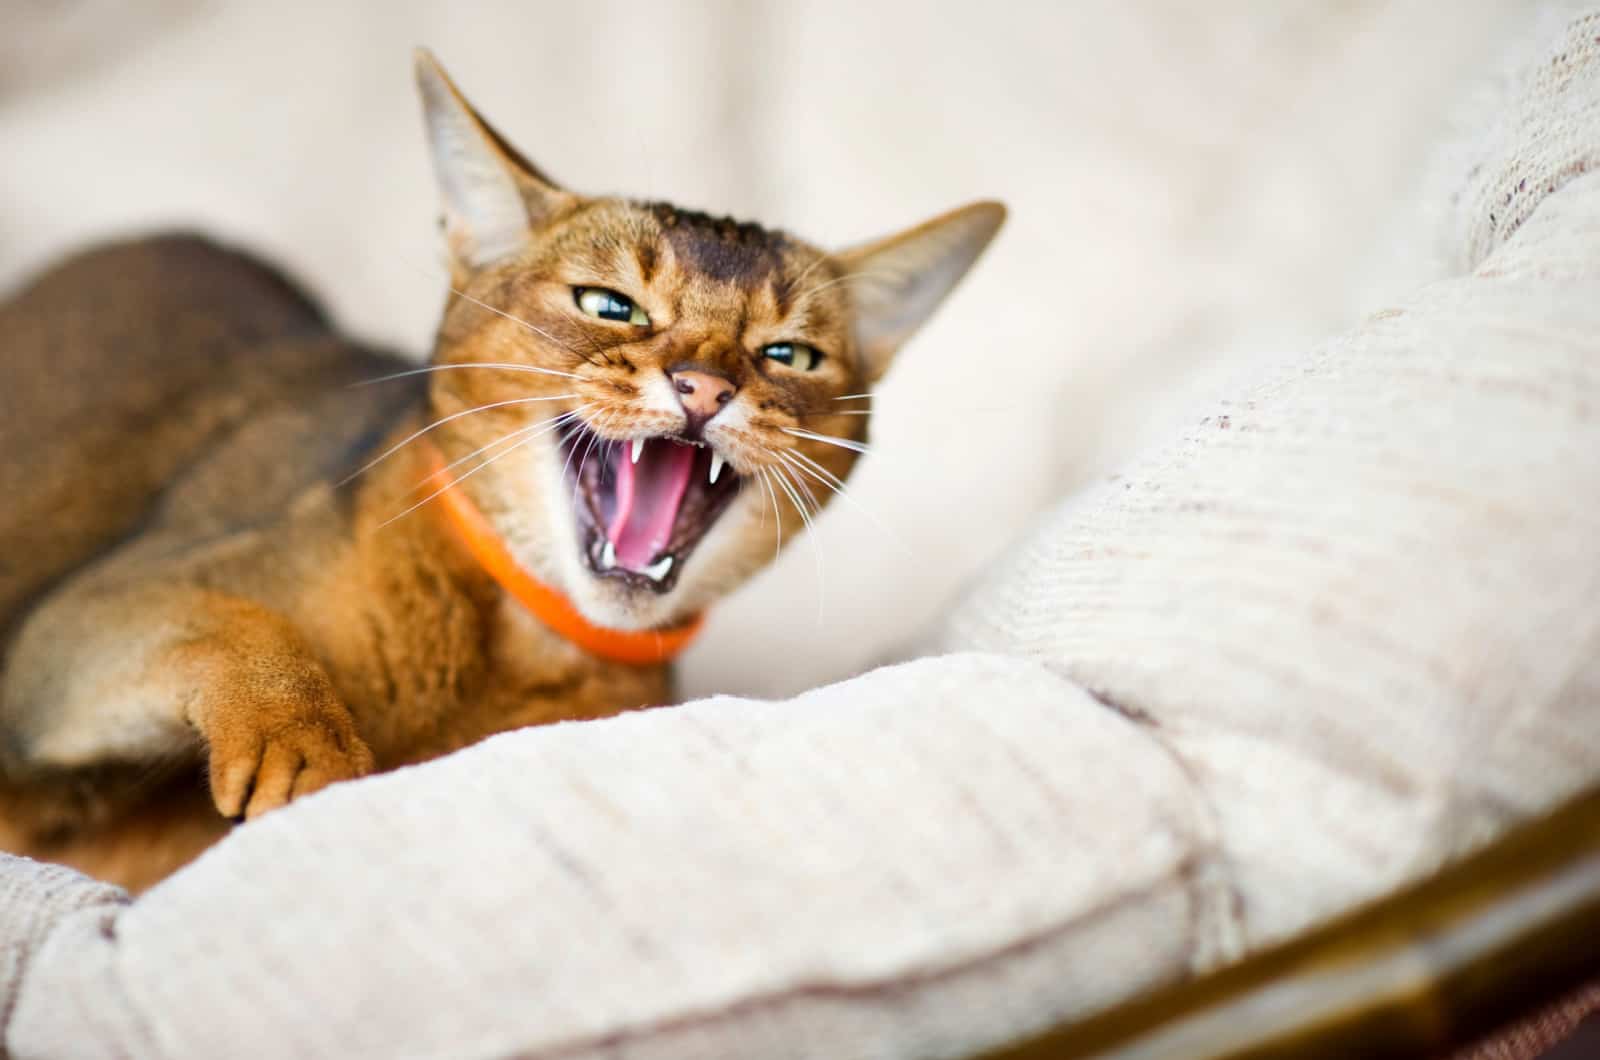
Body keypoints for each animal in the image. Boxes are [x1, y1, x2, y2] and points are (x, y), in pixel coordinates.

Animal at [0, 52, 998, 896]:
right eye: (610, 306)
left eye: (788, 355)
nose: (706, 387)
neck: (518, 646)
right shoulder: (68, 631)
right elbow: (235, 624)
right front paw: (305, 743)